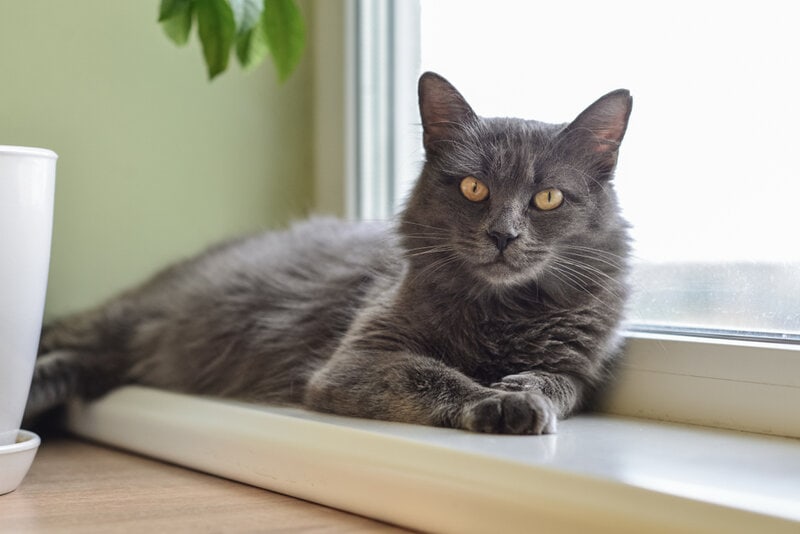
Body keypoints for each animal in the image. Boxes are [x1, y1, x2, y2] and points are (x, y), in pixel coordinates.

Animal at [25, 73, 636, 436]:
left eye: (547, 198)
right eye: (473, 189)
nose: (504, 235)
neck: (500, 313)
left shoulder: (578, 367)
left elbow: (556, 383)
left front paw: (523, 391)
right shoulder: (357, 360)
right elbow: (434, 375)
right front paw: (498, 401)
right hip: (115, 322)